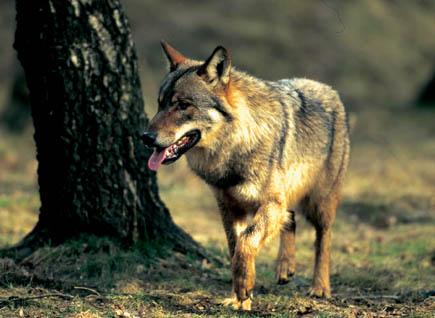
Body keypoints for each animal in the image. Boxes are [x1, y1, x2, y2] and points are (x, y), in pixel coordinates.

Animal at [142, 40, 350, 310]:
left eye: (183, 105)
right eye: (160, 103)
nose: (145, 137)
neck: (234, 148)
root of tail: (330, 89)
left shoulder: (270, 204)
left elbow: (246, 242)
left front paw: (244, 288)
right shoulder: (229, 207)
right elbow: (235, 248)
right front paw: (240, 299)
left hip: (320, 202)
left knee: (323, 238)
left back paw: (320, 288)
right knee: (291, 217)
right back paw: (284, 268)